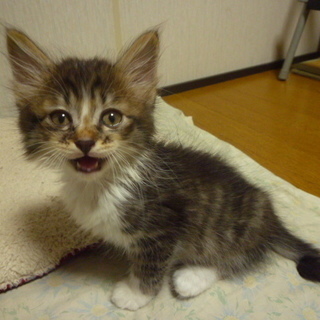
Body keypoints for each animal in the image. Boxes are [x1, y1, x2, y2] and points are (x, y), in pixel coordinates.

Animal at [5, 28, 320, 310]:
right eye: (60, 118)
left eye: (111, 117)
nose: (84, 142)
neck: (103, 184)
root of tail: (270, 215)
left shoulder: (164, 228)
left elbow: (150, 265)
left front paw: (135, 295)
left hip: (232, 229)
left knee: (236, 257)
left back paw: (191, 277)